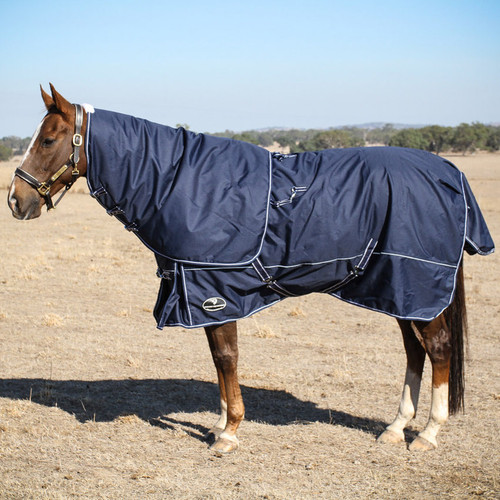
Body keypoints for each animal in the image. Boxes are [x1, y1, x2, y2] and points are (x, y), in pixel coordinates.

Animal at [7, 85, 496, 454]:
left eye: (48, 140)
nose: (15, 200)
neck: (182, 182)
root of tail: (449, 171)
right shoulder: (202, 292)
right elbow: (218, 359)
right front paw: (221, 422)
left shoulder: (215, 289)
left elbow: (226, 357)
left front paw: (229, 433)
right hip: (399, 292)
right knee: (415, 352)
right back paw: (395, 428)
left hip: (420, 288)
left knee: (438, 348)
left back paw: (428, 434)